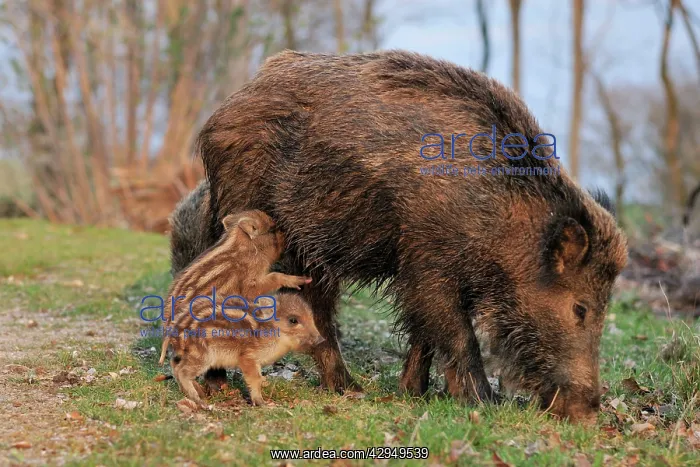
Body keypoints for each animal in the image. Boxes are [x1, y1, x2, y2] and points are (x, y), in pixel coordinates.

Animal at [173, 50, 627, 423]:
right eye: (580, 308)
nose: (587, 413)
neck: (503, 224)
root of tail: (226, 108)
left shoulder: (422, 274)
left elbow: (424, 333)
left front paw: (414, 393)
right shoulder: (428, 262)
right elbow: (457, 334)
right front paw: (483, 402)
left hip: (311, 254)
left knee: (319, 312)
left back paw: (348, 389)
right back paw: (219, 382)